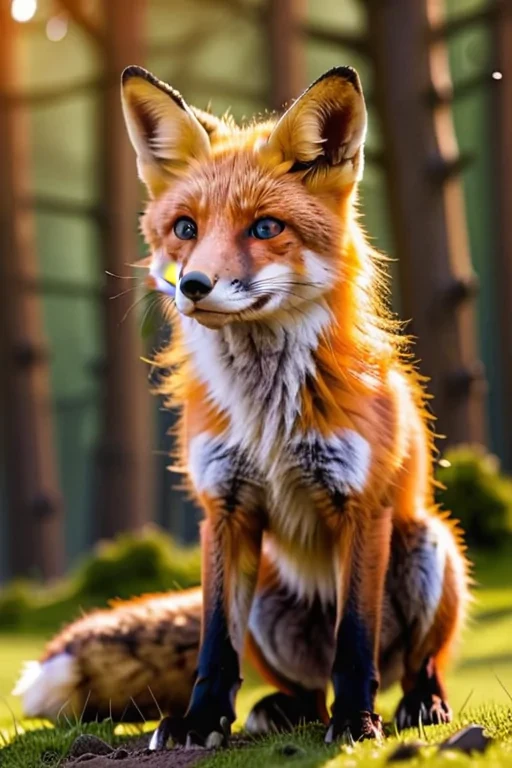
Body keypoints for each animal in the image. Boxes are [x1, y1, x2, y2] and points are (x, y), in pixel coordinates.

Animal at [14, 65, 469, 749]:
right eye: (185, 228)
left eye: (265, 228)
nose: (194, 285)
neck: (266, 417)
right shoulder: (223, 508)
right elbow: (213, 646)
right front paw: (200, 721)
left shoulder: (361, 507)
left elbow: (355, 640)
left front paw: (357, 722)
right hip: (268, 608)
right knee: (304, 688)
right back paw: (283, 710)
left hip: (428, 544)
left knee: (411, 662)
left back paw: (416, 703)